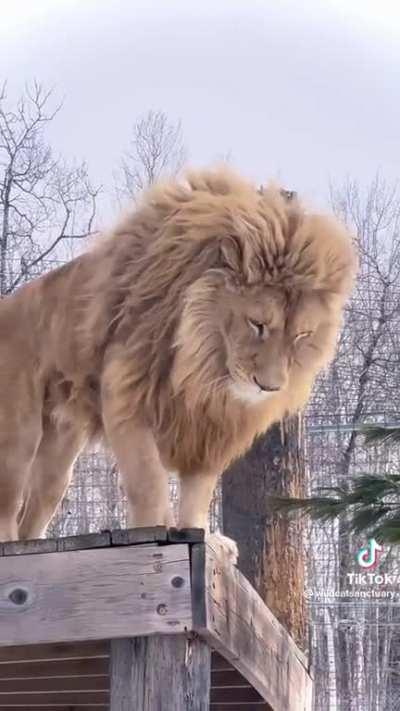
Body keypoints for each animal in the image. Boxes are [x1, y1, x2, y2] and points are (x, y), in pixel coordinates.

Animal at [0, 168, 356, 547]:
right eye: (257, 324)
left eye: (302, 335)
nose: (269, 388)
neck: (202, 366)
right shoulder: (127, 396)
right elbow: (148, 482)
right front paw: (155, 529)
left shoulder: (210, 428)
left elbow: (198, 494)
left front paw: (202, 536)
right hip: (18, 435)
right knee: (8, 505)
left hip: (60, 450)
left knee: (35, 511)